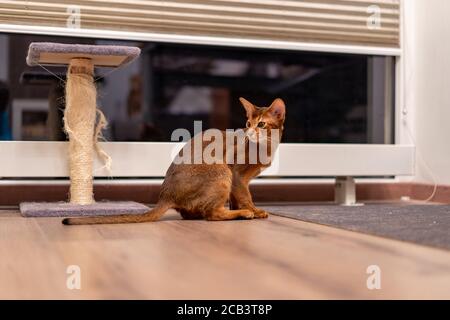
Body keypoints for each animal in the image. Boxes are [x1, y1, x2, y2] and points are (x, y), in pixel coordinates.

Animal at [62, 97, 284, 225]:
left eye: (261, 124)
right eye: (248, 123)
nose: (250, 132)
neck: (266, 147)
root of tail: (166, 195)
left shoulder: (239, 182)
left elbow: (237, 198)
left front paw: (243, 208)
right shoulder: (237, 175)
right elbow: (245, 197)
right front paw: (254, 211)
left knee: (195, 213)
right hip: (222, 172)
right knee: (212, 214)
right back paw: (242, 214)